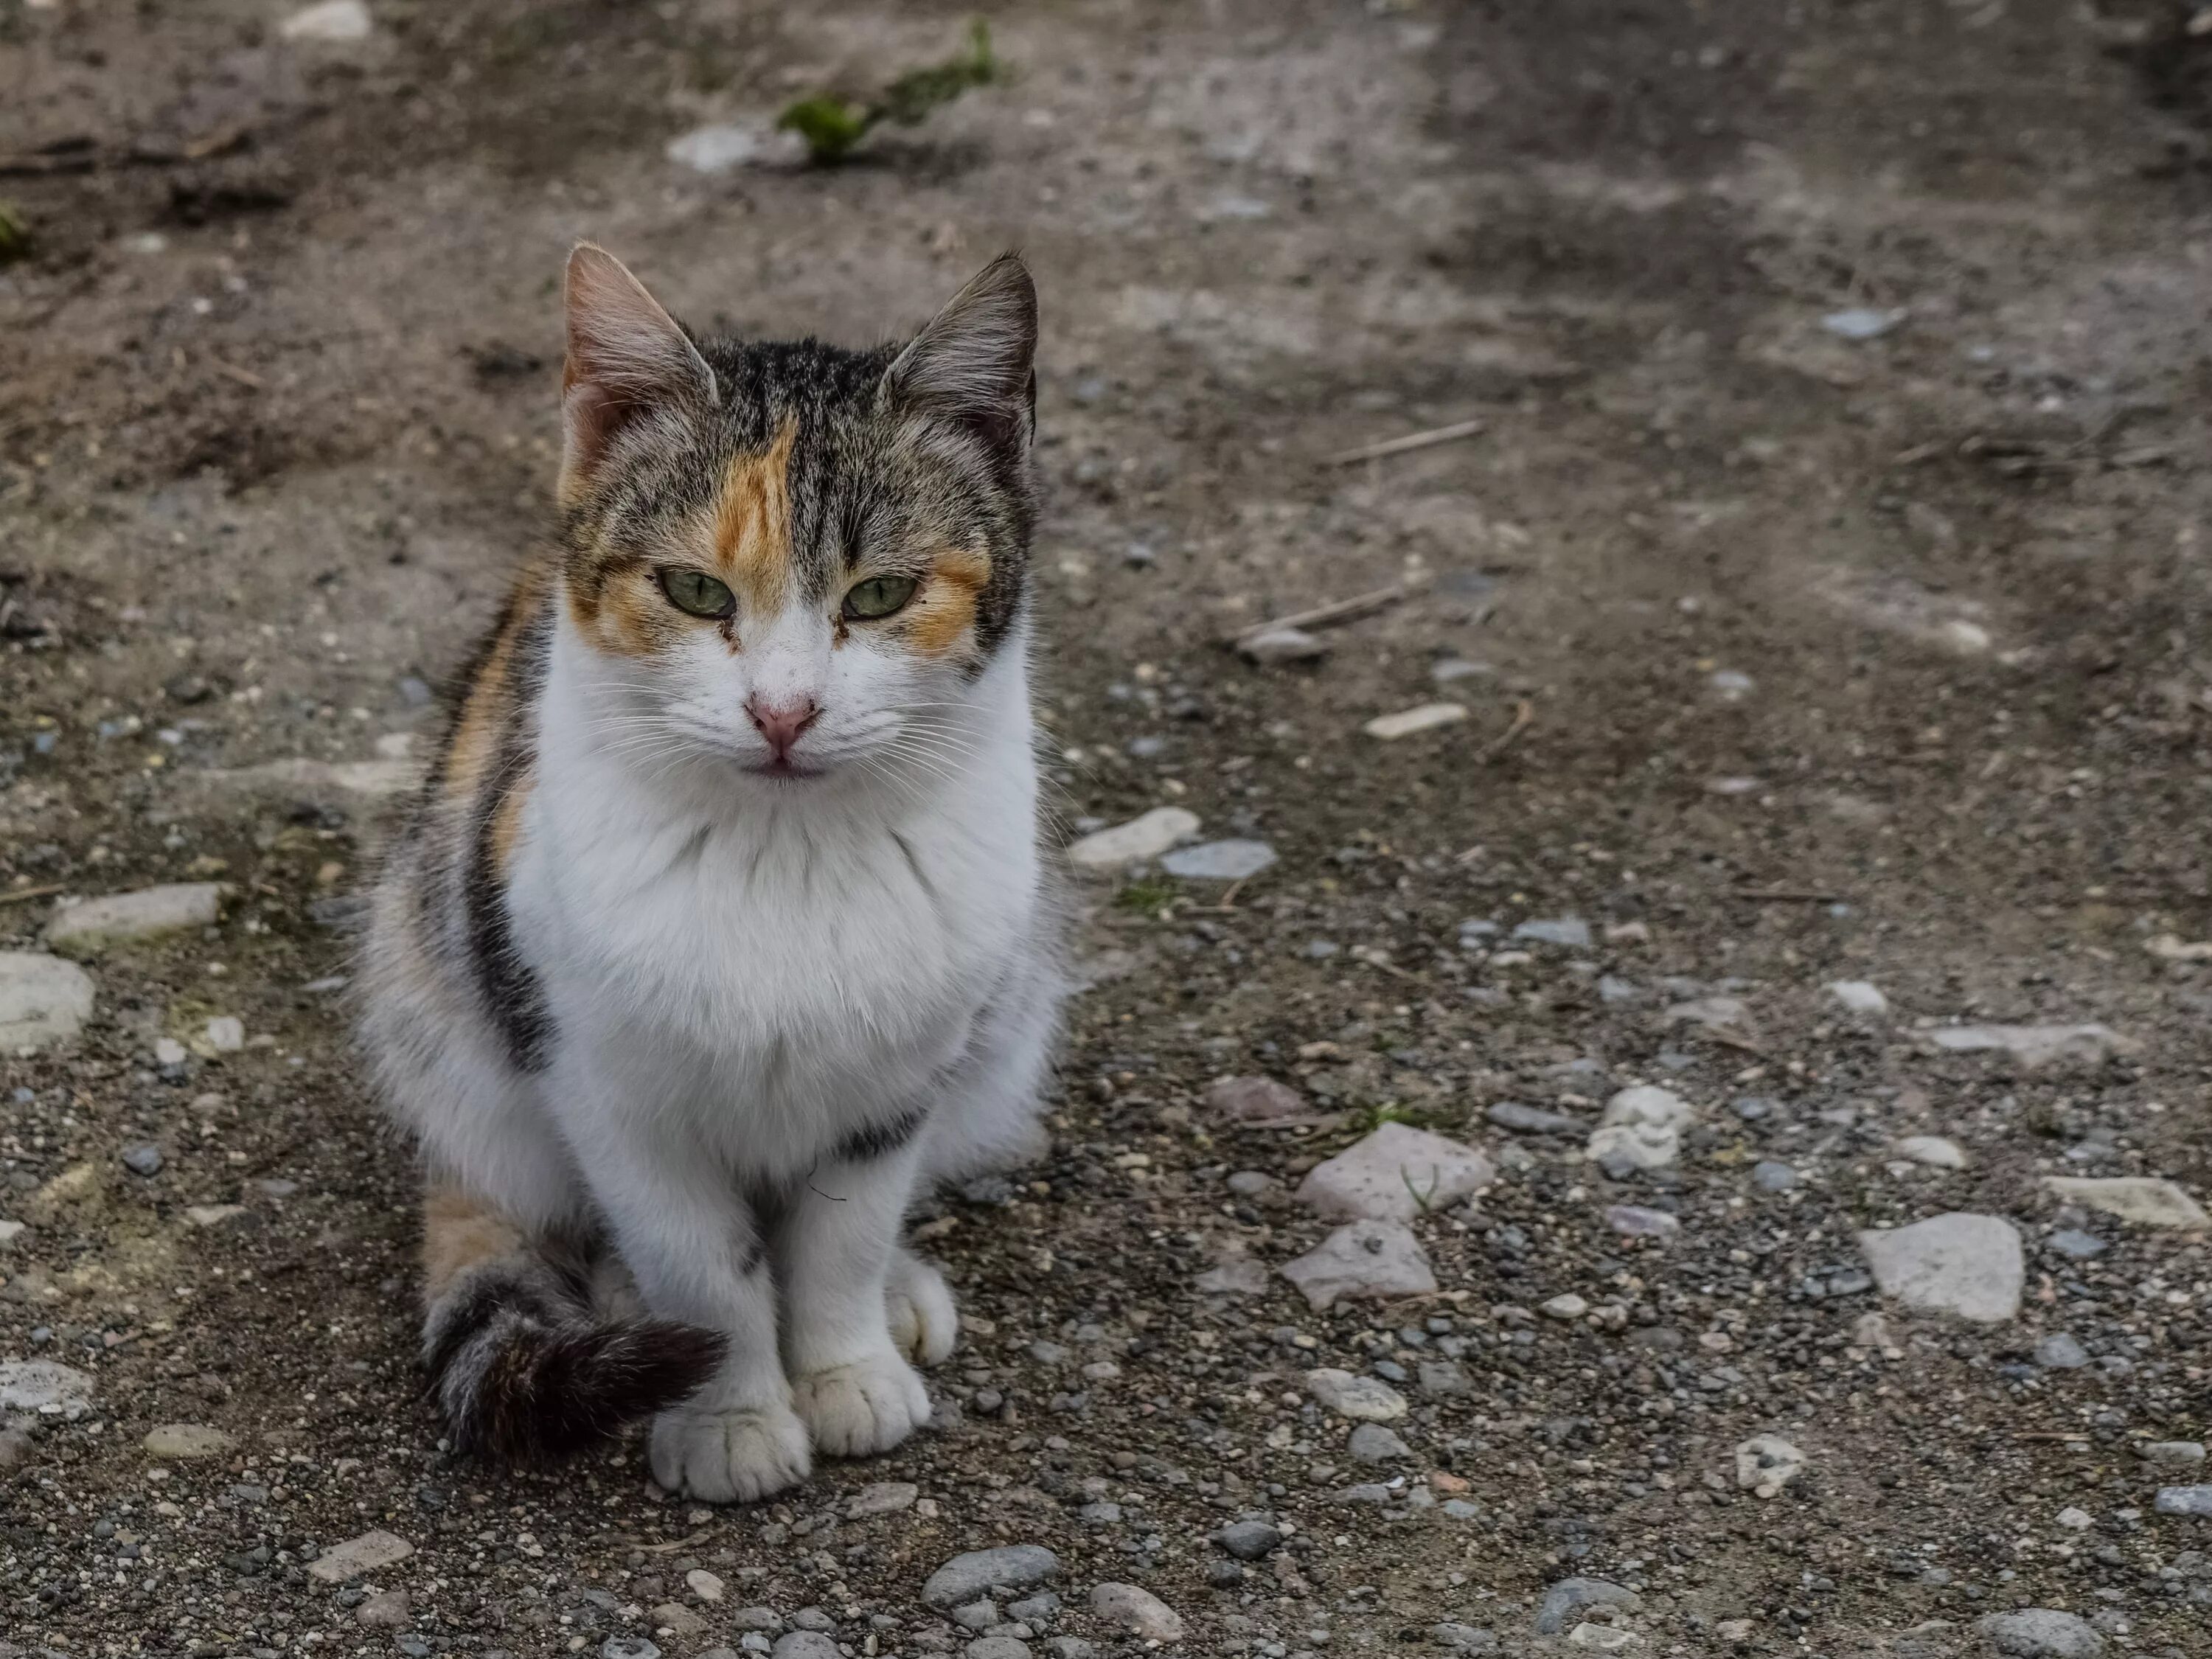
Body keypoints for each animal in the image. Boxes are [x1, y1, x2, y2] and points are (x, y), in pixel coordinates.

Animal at [361, 243, 1062, 1504]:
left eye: (879, 595)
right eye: (694, 591)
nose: (783, 711)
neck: (782, 853)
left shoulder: (895, 1082)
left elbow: (840, 1236)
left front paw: (846, 1367)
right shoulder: (606, 1087)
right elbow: (702, 1267)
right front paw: (729, 1412)